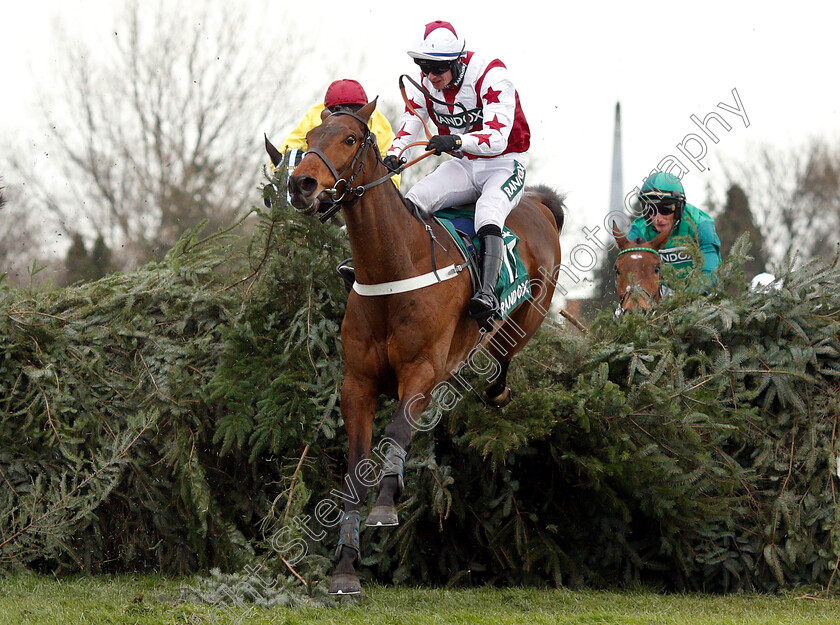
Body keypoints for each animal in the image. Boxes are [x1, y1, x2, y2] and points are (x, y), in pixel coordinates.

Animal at [282, 98, 564, 596]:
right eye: (311, 137)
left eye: (350, 139)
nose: (302, 184)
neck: (394, 269)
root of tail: (538, 204)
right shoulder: (357, 384)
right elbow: (354, 470)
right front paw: (345, 567)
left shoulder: (422, 372)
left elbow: (396, 433)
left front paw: (385, 504)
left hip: (527, 308)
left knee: (504, 352)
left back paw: (498, 386)